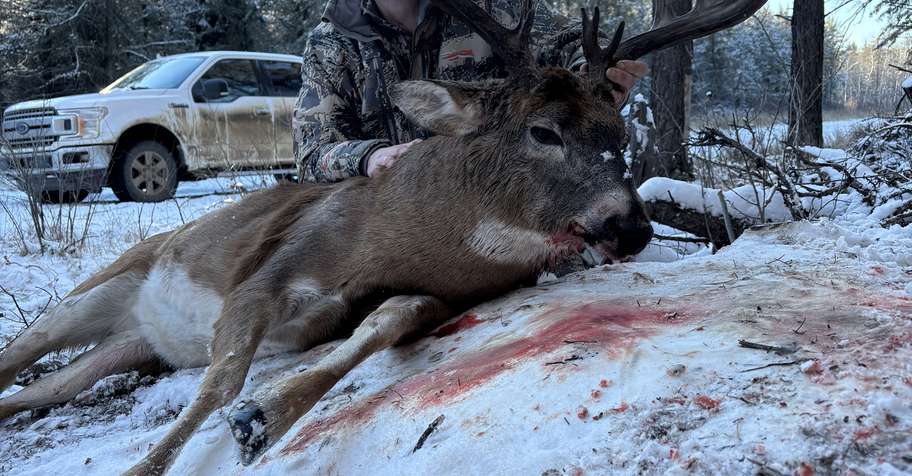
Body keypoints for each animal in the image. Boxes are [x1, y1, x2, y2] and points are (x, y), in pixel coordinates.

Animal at [0, 0, 767, 474]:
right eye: (543, 131)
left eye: (621, 135)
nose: (629, 224)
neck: (394, 235)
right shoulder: (265, 275)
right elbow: (220, 383)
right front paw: (154, 462)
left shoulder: (430, 292)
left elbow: (384, 321)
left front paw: (265, 416)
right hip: (99, 288)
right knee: (21, 357)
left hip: (122, 350)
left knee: (31, 392)